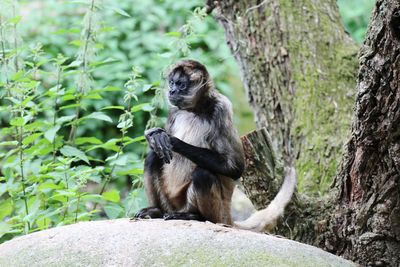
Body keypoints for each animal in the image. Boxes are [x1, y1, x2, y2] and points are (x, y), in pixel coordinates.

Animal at [135, 59, 296, 232]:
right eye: (171, 82)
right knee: (153, 156)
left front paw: (172, 141)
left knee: (202, 175)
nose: (171, 91)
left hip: (216, 210)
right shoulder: (174, 110)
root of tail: (228, 215)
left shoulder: (222, 107)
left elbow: (235, 168)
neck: (195, 109)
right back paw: (156, 210)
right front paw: (153, 135)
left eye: (181, 84)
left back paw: (196, 216)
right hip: (172, 202)